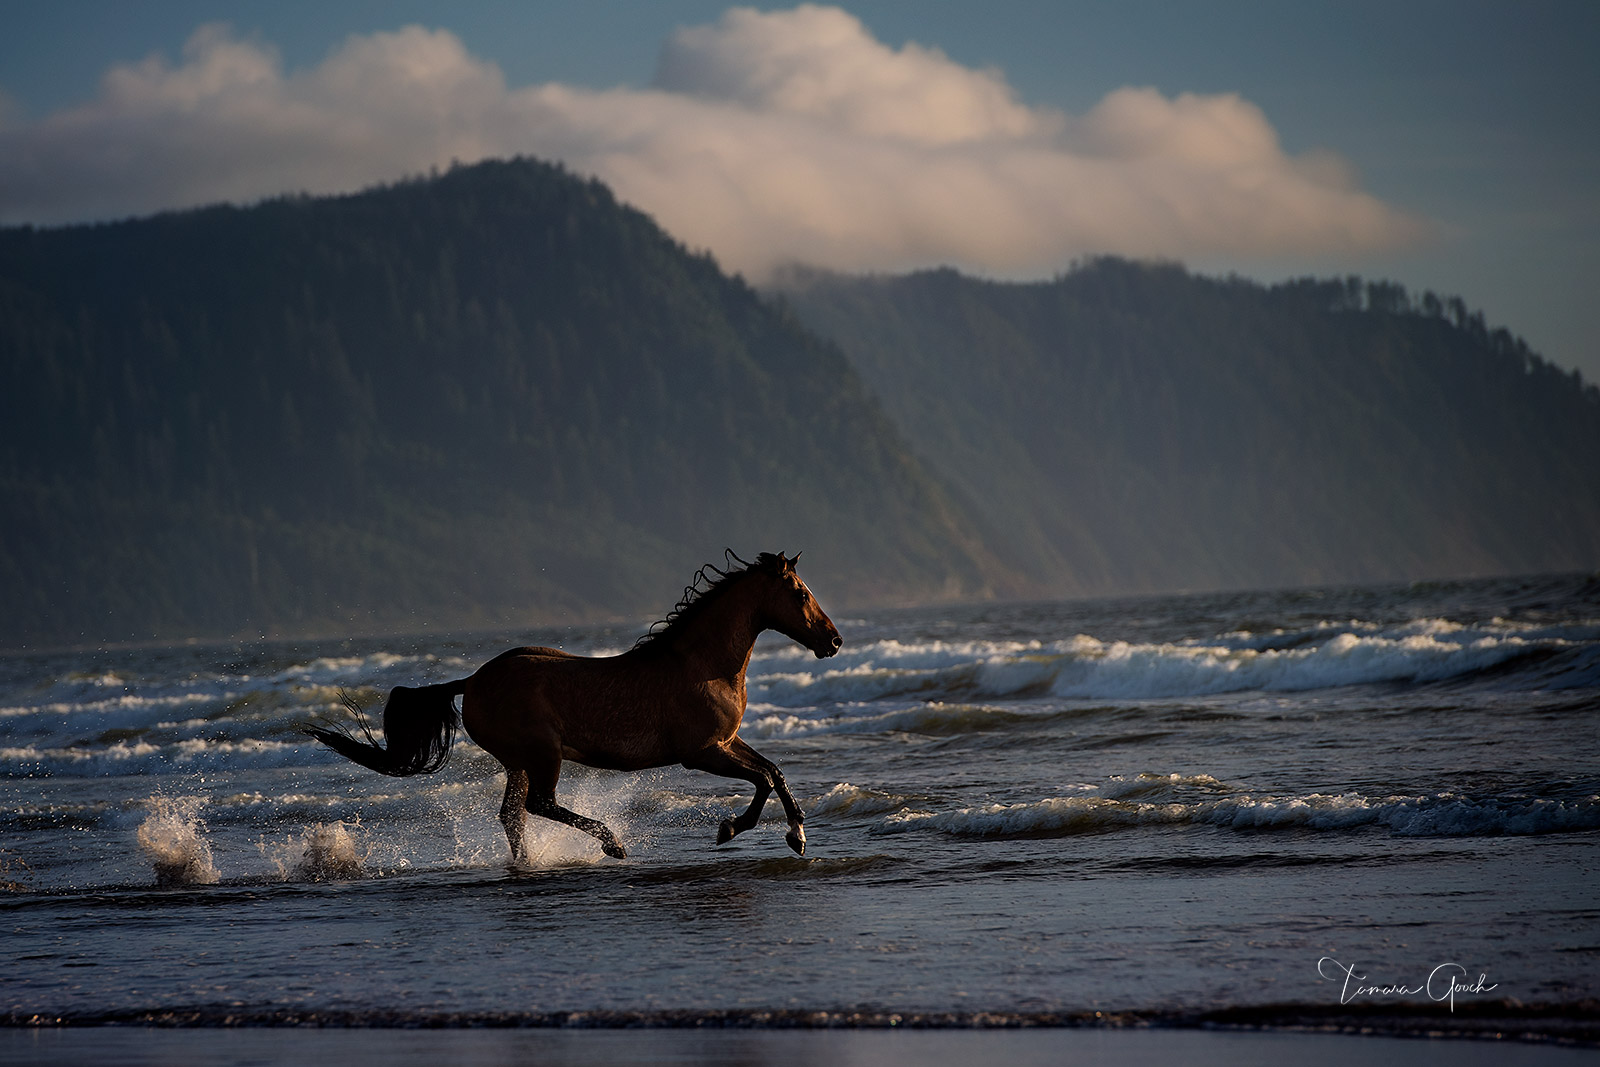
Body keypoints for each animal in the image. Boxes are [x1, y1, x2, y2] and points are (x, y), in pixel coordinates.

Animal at [304, 550, 844, 857]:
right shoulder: (702, 752)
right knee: (539, 805)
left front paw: (791, 834)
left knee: (513, 816)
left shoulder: (727, 741)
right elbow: (763, 779)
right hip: (543, 754)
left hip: (519, 761)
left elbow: (773, 771)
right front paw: (736, 829)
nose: (834, 641)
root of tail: (472, 681)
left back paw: (528, 864)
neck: (703, 666)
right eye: (800, 592)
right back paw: (612, 843)